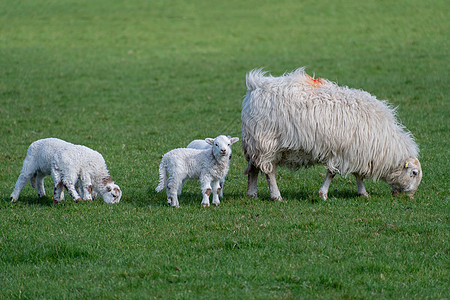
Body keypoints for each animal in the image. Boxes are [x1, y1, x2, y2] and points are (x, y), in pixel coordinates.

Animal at [243, 67, 422, 200]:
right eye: (413, 173)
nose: (411, 196)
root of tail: (256, 86)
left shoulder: (357, 152)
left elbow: (358, 175)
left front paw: (363, 193)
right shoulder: (344, 152)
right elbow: (333, 173)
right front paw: (323, 194)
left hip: (255, 143)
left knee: (253, 168)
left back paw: (252, 194)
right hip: (267, 144)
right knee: (269, 171)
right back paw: (276, 196)